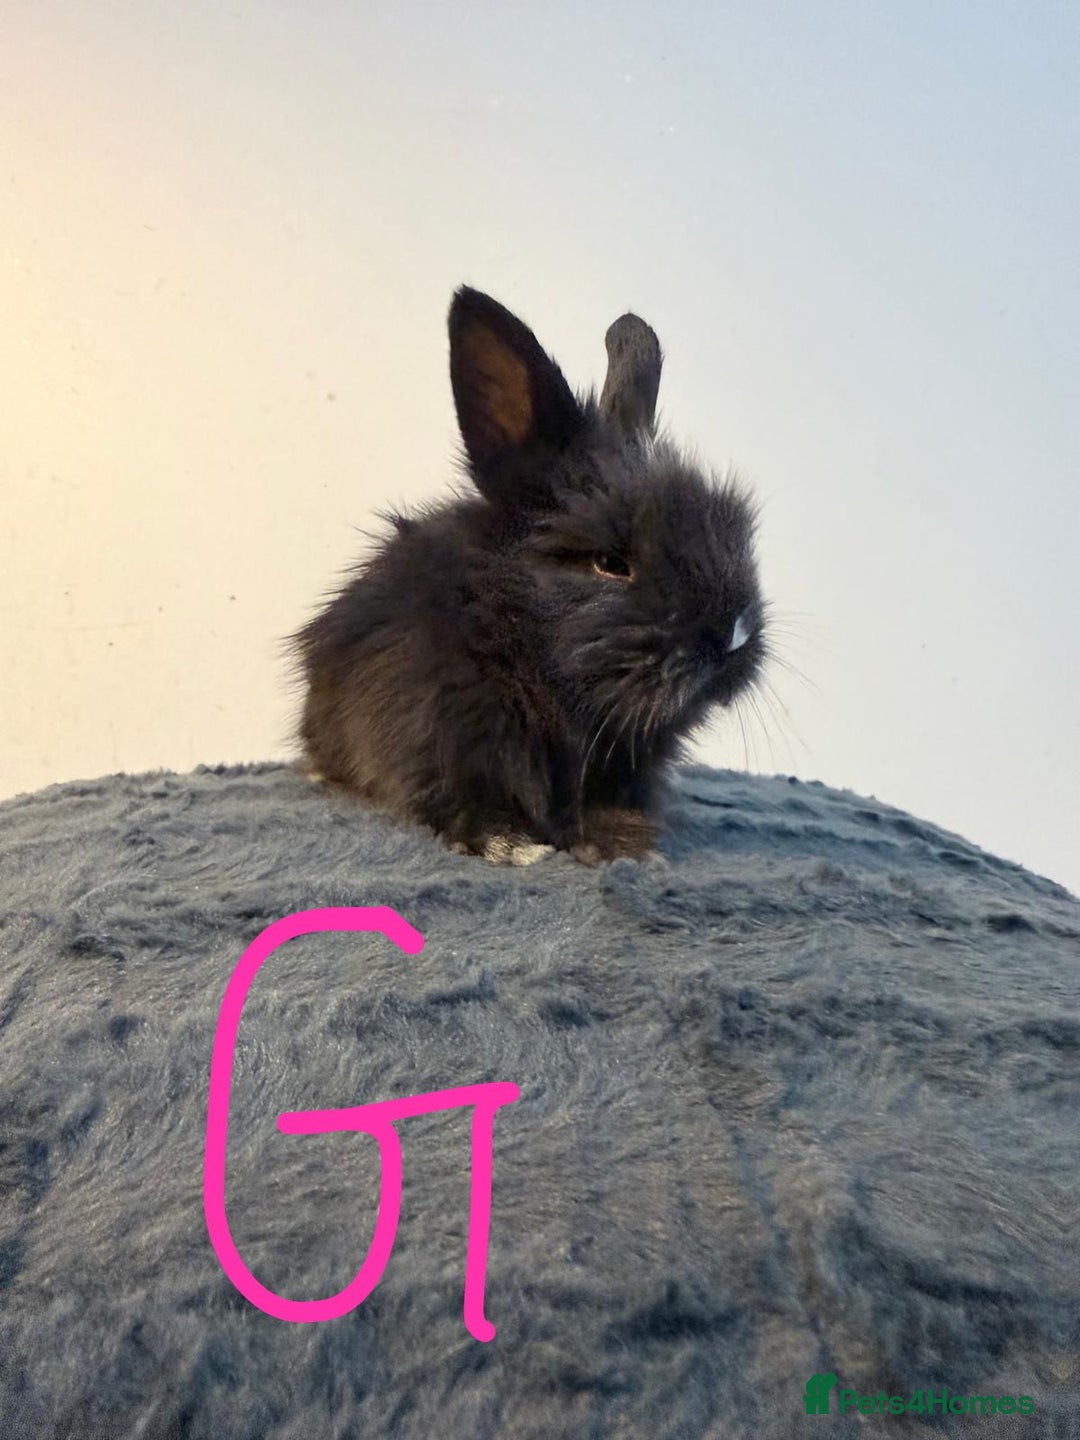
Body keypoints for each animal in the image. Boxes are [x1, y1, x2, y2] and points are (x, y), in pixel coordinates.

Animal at [292, 286, 766, 865]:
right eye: (610, 564)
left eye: (731, 524)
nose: (733, 635)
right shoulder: (435, 739)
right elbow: (456, 802)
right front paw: (511, 846)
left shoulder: (622, 766)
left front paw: (625, 849)